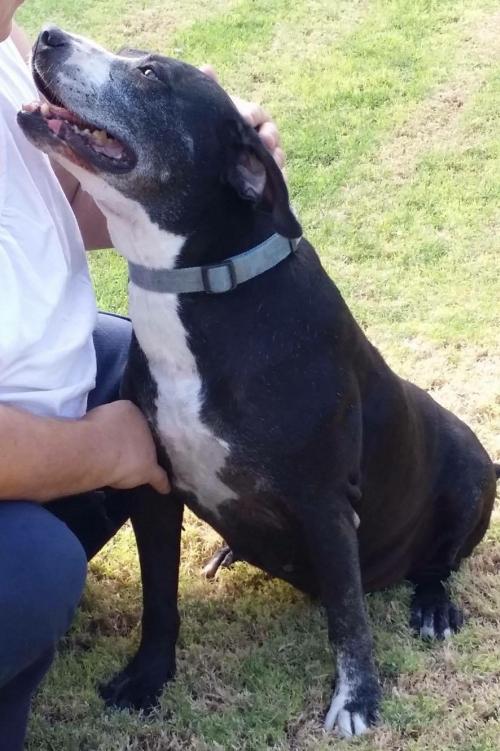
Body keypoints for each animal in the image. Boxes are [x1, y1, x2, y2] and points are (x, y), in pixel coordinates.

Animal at [17, 26, 498, 736]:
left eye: (150, 74)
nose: (49, 34)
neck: (203, 288)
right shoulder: (153, 487)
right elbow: (160, 600)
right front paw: (147, 679)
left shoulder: (327, 505)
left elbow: (348, 619)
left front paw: (357, 701)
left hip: (468, 476)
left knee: (438, 563)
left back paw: (434, 605)